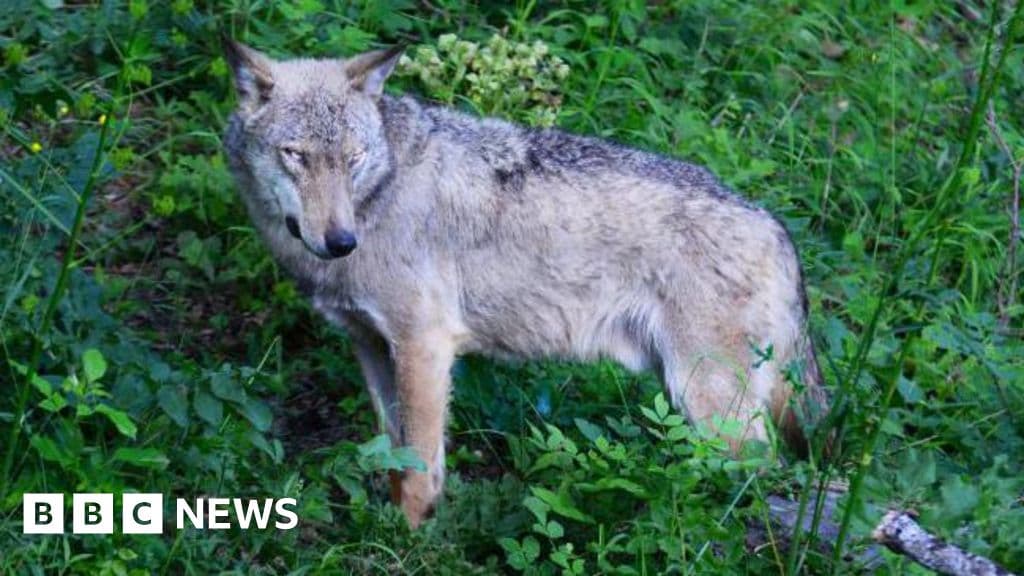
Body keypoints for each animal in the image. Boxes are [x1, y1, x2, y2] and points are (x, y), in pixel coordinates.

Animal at [222, 39, 827, 528]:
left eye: (354, 158)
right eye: (296, 156)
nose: (340, 241)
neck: (379, 198)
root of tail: (776, 227)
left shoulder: (424, 346)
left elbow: (419, 468)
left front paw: (410, 540)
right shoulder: (371, 346)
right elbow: (396, 456)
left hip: (707, 403)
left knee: (761, 473)